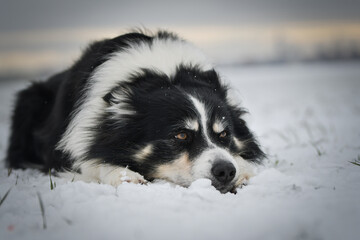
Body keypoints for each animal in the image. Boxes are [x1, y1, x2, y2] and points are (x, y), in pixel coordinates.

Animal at [5, 31, 264, 194]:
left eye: (224, 135)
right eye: (180, 135)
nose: (225, 171)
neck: (165, 75)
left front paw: (243, 173)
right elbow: (92, 161)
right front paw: (124, 175)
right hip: (29, 101)